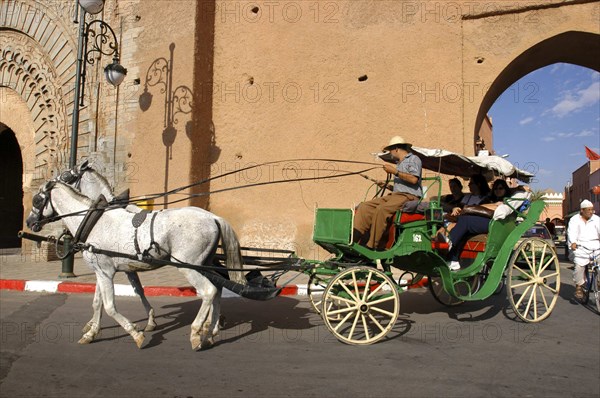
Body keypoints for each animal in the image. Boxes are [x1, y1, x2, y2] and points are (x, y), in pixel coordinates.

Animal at [27, 180, 245, 348]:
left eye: (37, 199)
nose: (29, 222)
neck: (94, 222)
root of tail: (213, 217)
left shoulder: (106, 272)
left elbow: (110, 306)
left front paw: (136, 334)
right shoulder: (100, 271)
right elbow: (97, 303)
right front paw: (91, 333)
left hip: (188, 266)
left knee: (208, 291)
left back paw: (196, 332)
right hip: (205, 264)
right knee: (217, 290)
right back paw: (211, 331)